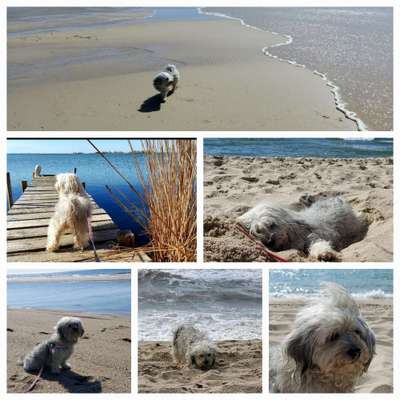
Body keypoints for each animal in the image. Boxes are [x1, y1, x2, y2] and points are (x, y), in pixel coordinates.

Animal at [236, 195, 368, 260]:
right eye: (258, 232)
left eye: (271, 225)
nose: (270, 241)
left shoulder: (314, 236)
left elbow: (318, 244)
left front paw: (324, 253)